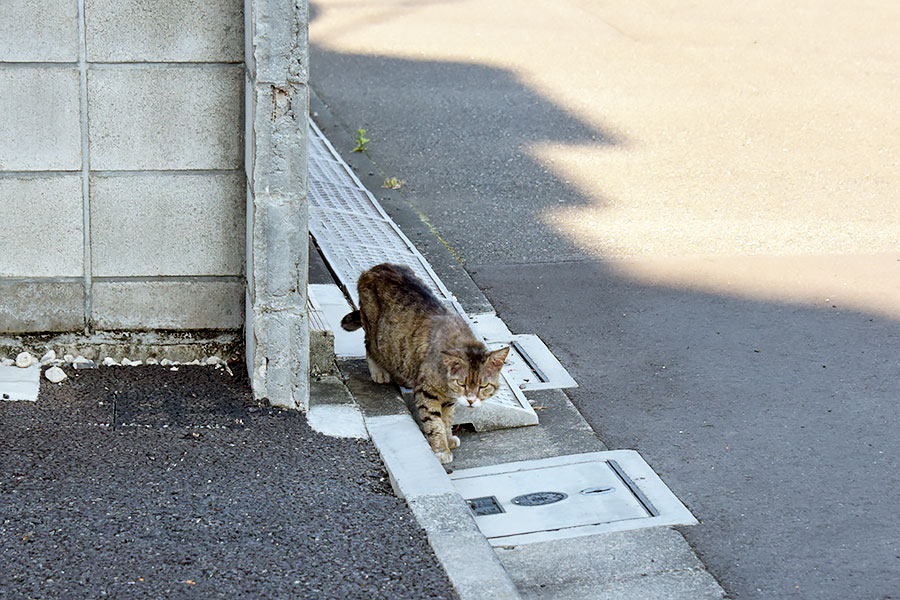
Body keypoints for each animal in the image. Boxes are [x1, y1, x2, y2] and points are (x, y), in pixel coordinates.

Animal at [342, 262, 506, 464]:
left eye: (483, 386)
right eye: (462, 383)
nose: (470, 400)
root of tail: (376, 268)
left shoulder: (449, 400)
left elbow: (447, 419)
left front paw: (448, 437)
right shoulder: (428, 392)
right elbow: (434, 422)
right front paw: (441, 449)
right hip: (375, 330)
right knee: (368, 344)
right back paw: (379, 371)